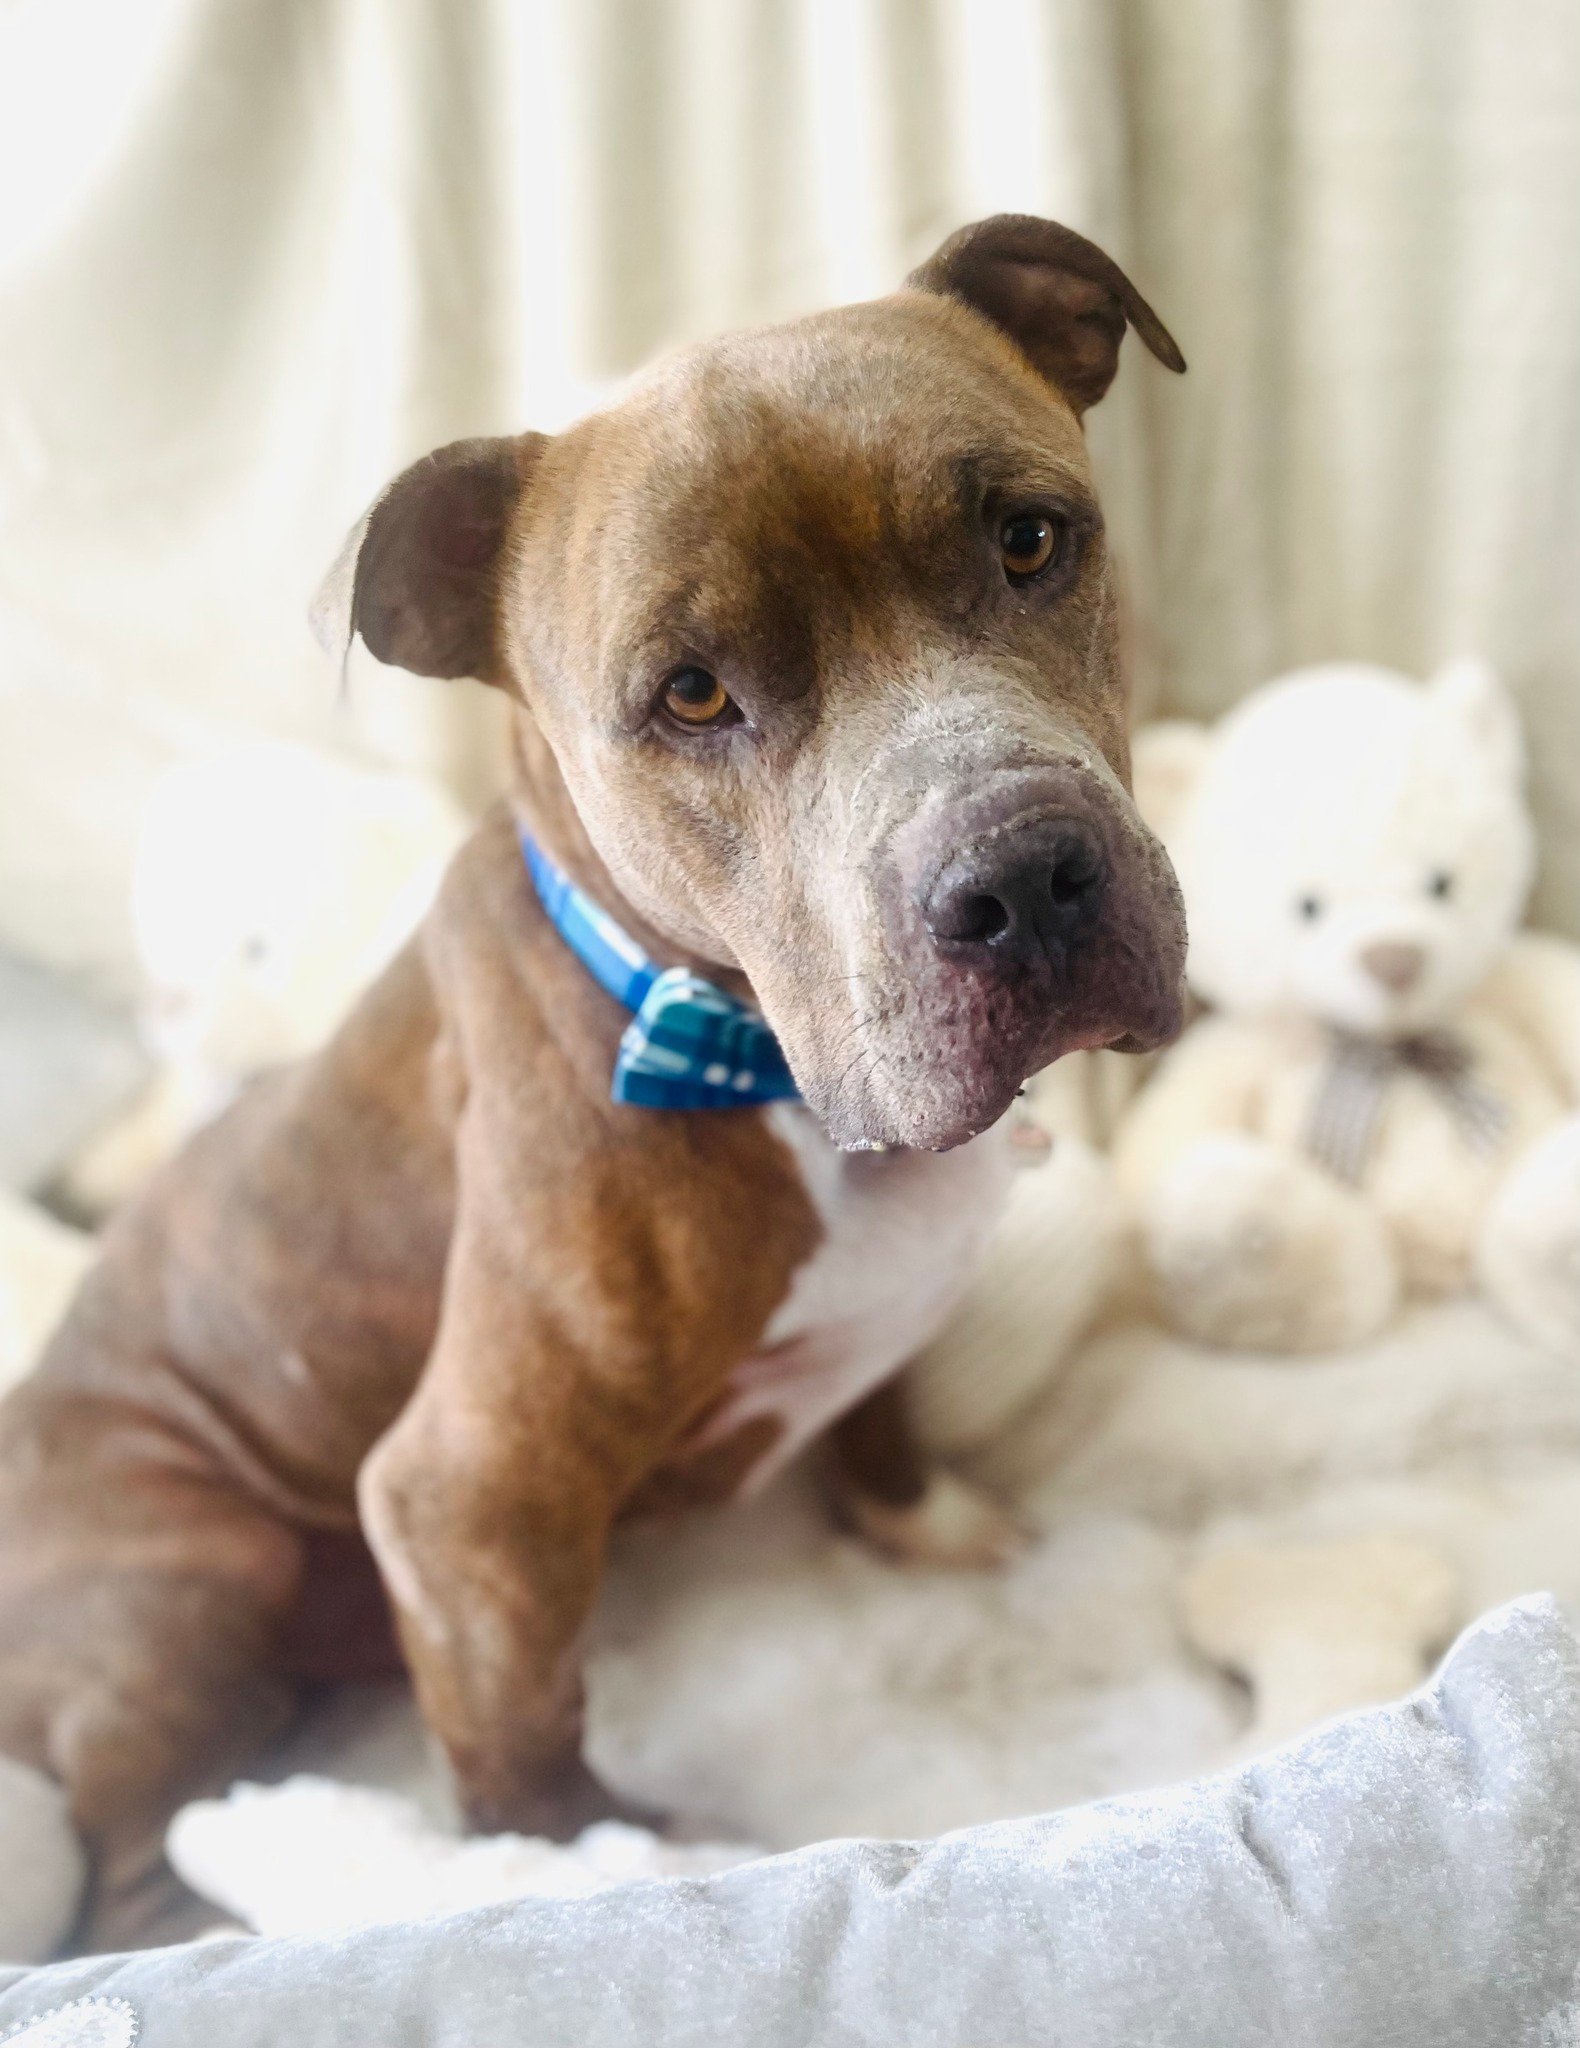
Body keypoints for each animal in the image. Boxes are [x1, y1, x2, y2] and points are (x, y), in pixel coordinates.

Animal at [0, 211, 1188, 1949]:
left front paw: (925, 1518)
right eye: (689, 694)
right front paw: (571, 1876)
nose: (1021, 878)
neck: (738, 1051)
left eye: (1031, 542)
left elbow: (880, 1414)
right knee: (129, 1846)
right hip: (191, 1575)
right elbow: (521, 1741)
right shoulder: (469, 1502)